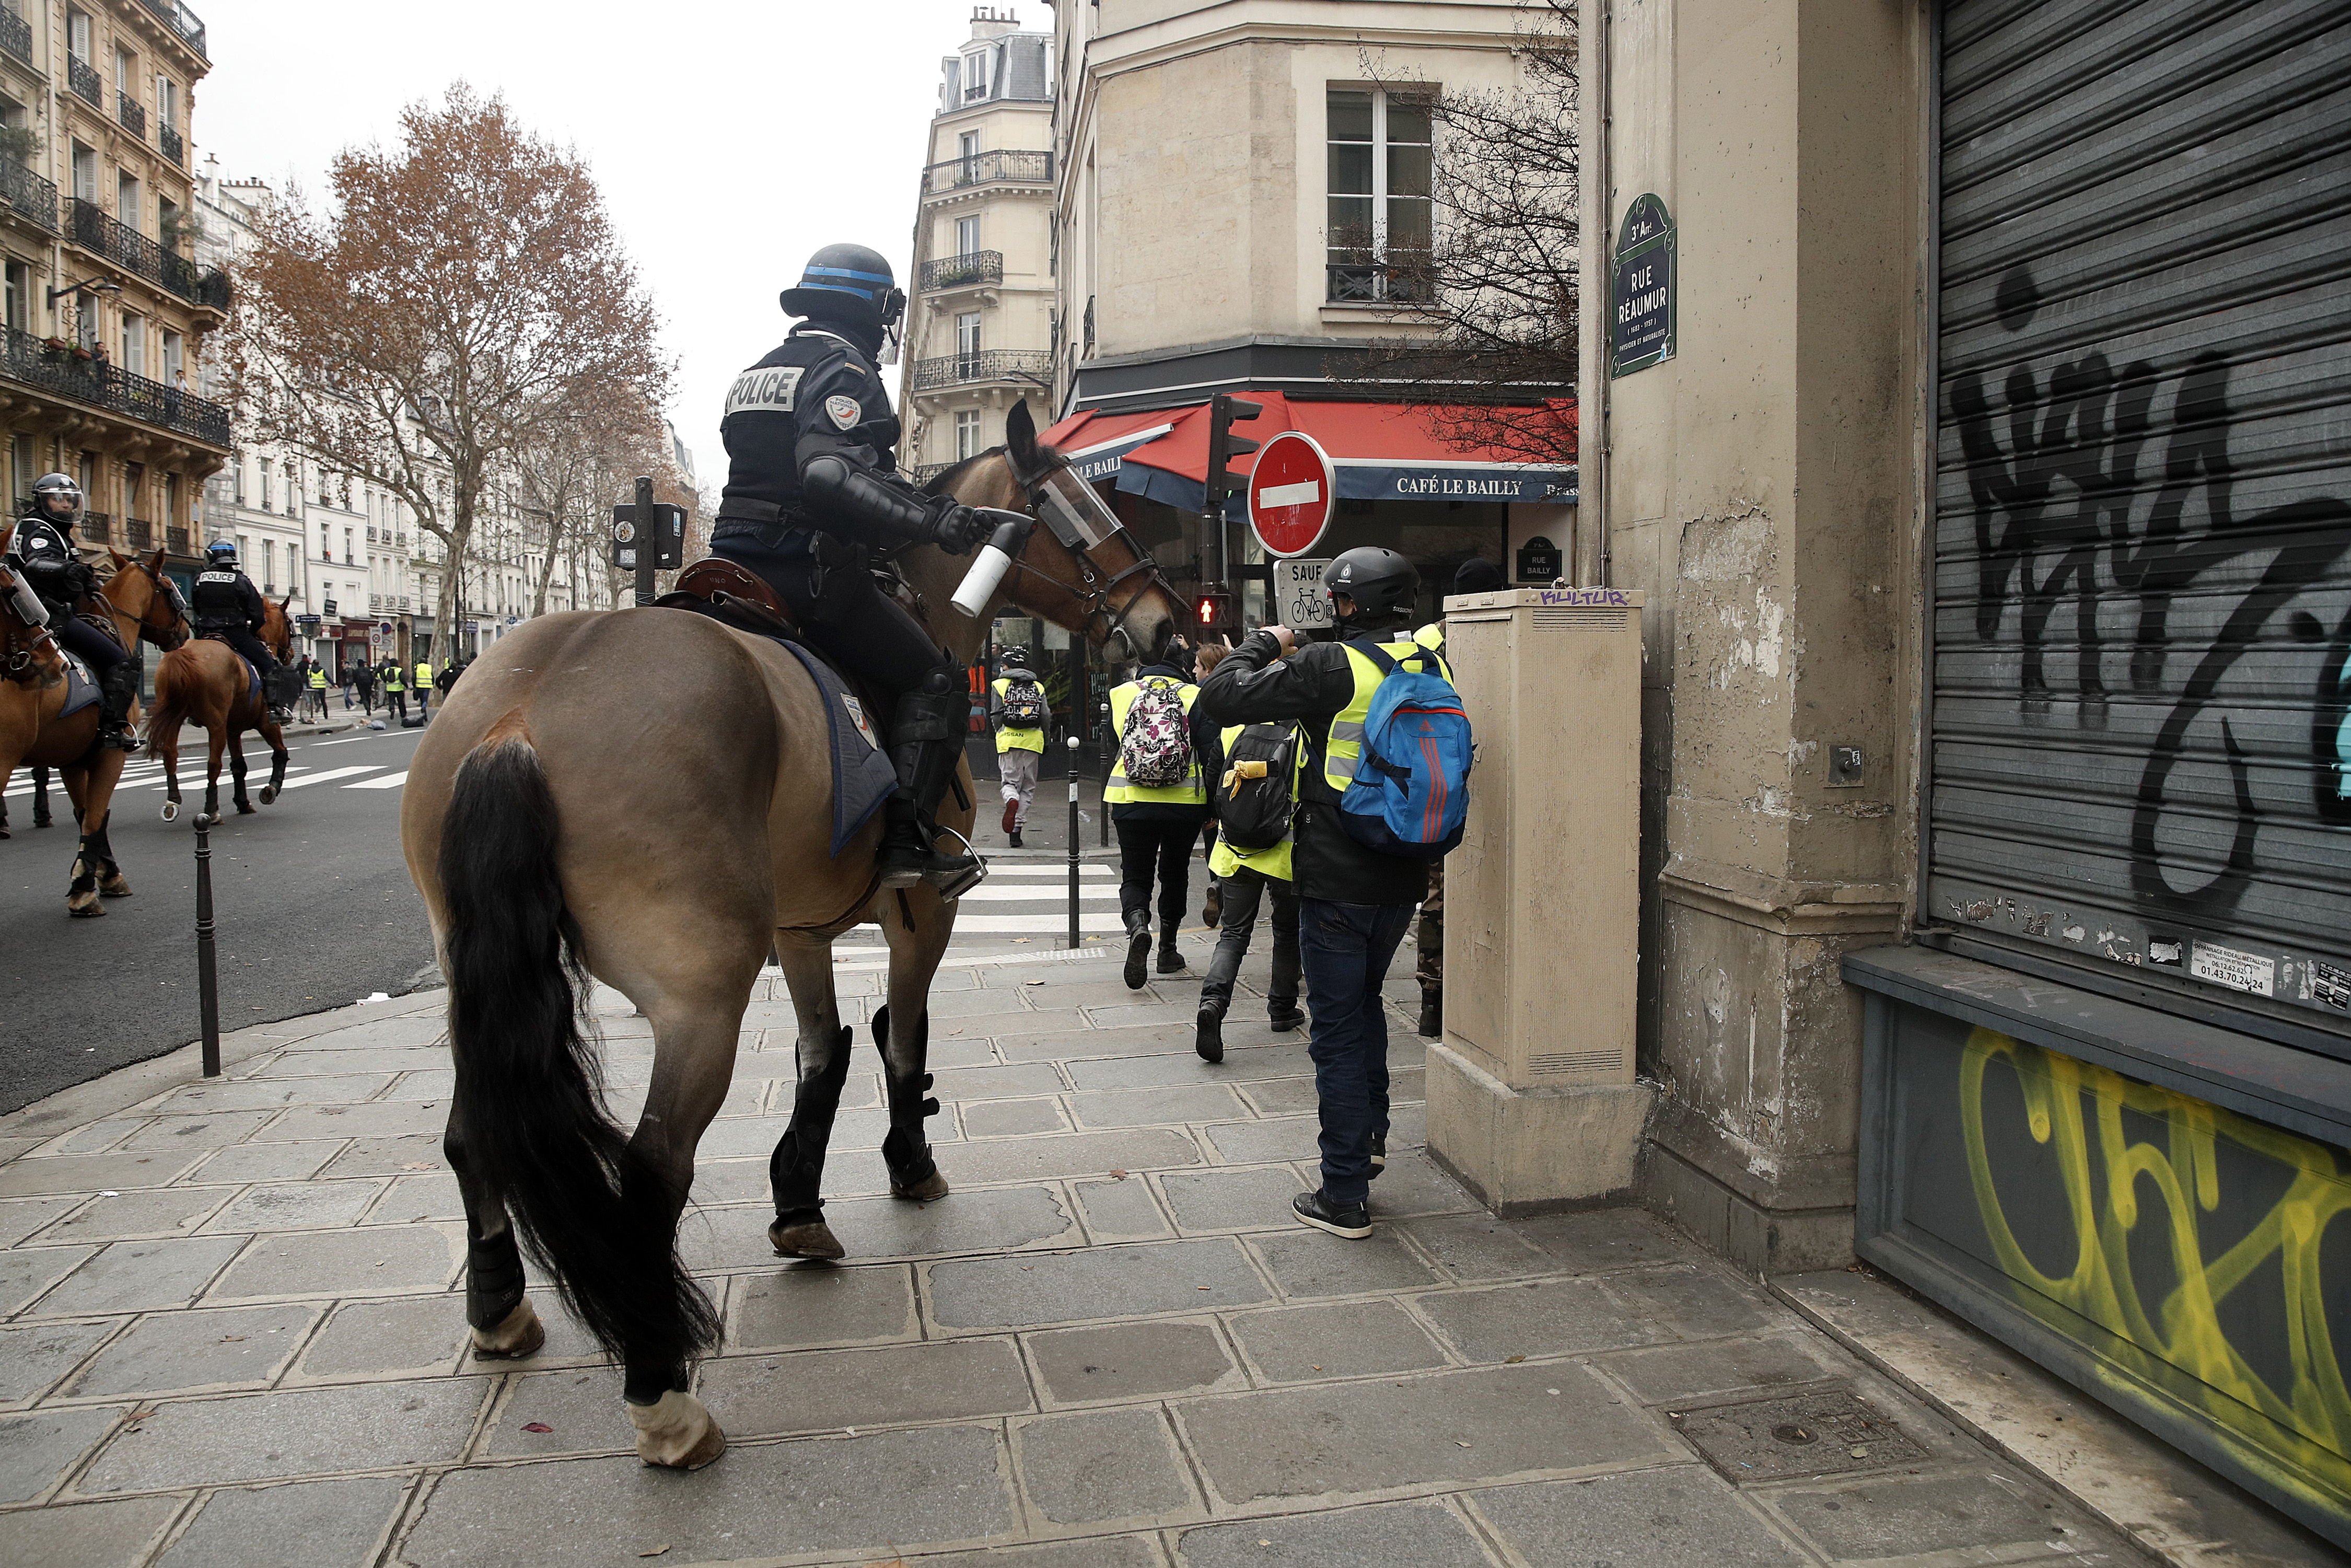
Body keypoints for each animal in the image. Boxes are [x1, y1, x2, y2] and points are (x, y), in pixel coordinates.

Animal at [0, 540, 191, 912]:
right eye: (169, 589)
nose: (186, 632)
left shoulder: (73, 760)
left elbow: (87, 814)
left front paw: (101, 873)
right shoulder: (110, 755)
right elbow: (95, 814)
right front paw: (87, 885)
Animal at [152, 595, 296, 827]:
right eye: (289, 624)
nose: (291, 654)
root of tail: (185, 653)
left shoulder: (233, 730)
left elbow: (239, 766)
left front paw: (243, 803)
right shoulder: (266, 724)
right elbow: (280, 753)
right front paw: (271, 789)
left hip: (175, 718)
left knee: (170, 754)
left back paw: (172, 802)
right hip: (216, 724)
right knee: (213, 764)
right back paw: (211, 811)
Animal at [404, 404, 1194, 1476]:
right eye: (1081, 511)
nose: (1169, 624)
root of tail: (519, 720)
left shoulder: (804, 925)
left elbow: (825, 1053)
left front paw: (800, 1207)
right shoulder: (921, 915)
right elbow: (904, 1046)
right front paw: (909, 1162)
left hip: (471, 971)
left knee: (471, 1131)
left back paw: (499, 1312)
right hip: (702, 993)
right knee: (653, 1170)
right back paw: (663, 1394)